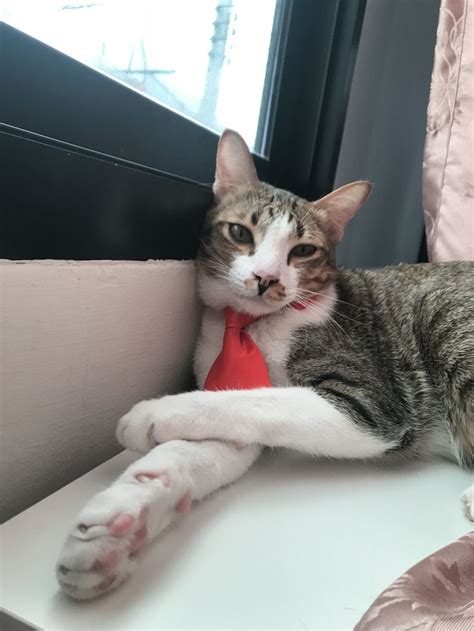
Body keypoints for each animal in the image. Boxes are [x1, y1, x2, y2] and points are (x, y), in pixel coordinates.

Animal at [57, 130, 472, 604]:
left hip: (446, 319)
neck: (252, 326)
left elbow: (259, 400)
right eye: (240, 232)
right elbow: (207, 444)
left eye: (303, 250)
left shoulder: (374, 404)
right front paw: (118, 522)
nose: (266, 278)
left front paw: (154, 412)